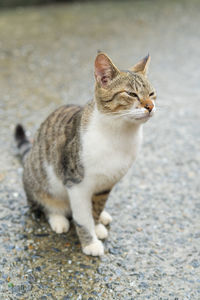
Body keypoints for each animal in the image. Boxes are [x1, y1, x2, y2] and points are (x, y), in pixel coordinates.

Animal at [14, 51, 157, 255]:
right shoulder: (76, 184)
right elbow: (83, 218)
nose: (150, 106)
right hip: (41, 180)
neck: (120, 134)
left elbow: (95, 209)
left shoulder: (106, 184)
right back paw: (58, 219)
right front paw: (90, 243)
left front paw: (97, 225)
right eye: (131, 94)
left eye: (152, 94)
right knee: (45, 204)